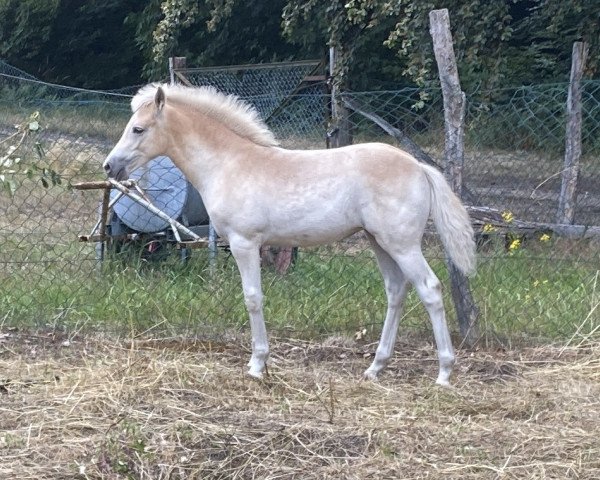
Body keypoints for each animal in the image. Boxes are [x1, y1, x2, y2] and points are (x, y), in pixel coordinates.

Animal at [104, 82, 478, 386]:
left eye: (138, 128)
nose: (109, 166)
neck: (228, 163)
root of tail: (419, 167)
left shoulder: (244, 243)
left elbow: (253, 298)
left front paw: (257, 364)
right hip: (380, 243)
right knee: (396, 291)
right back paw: (375, 367)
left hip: (402, 245)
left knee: (430, 289)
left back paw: (444, 372)